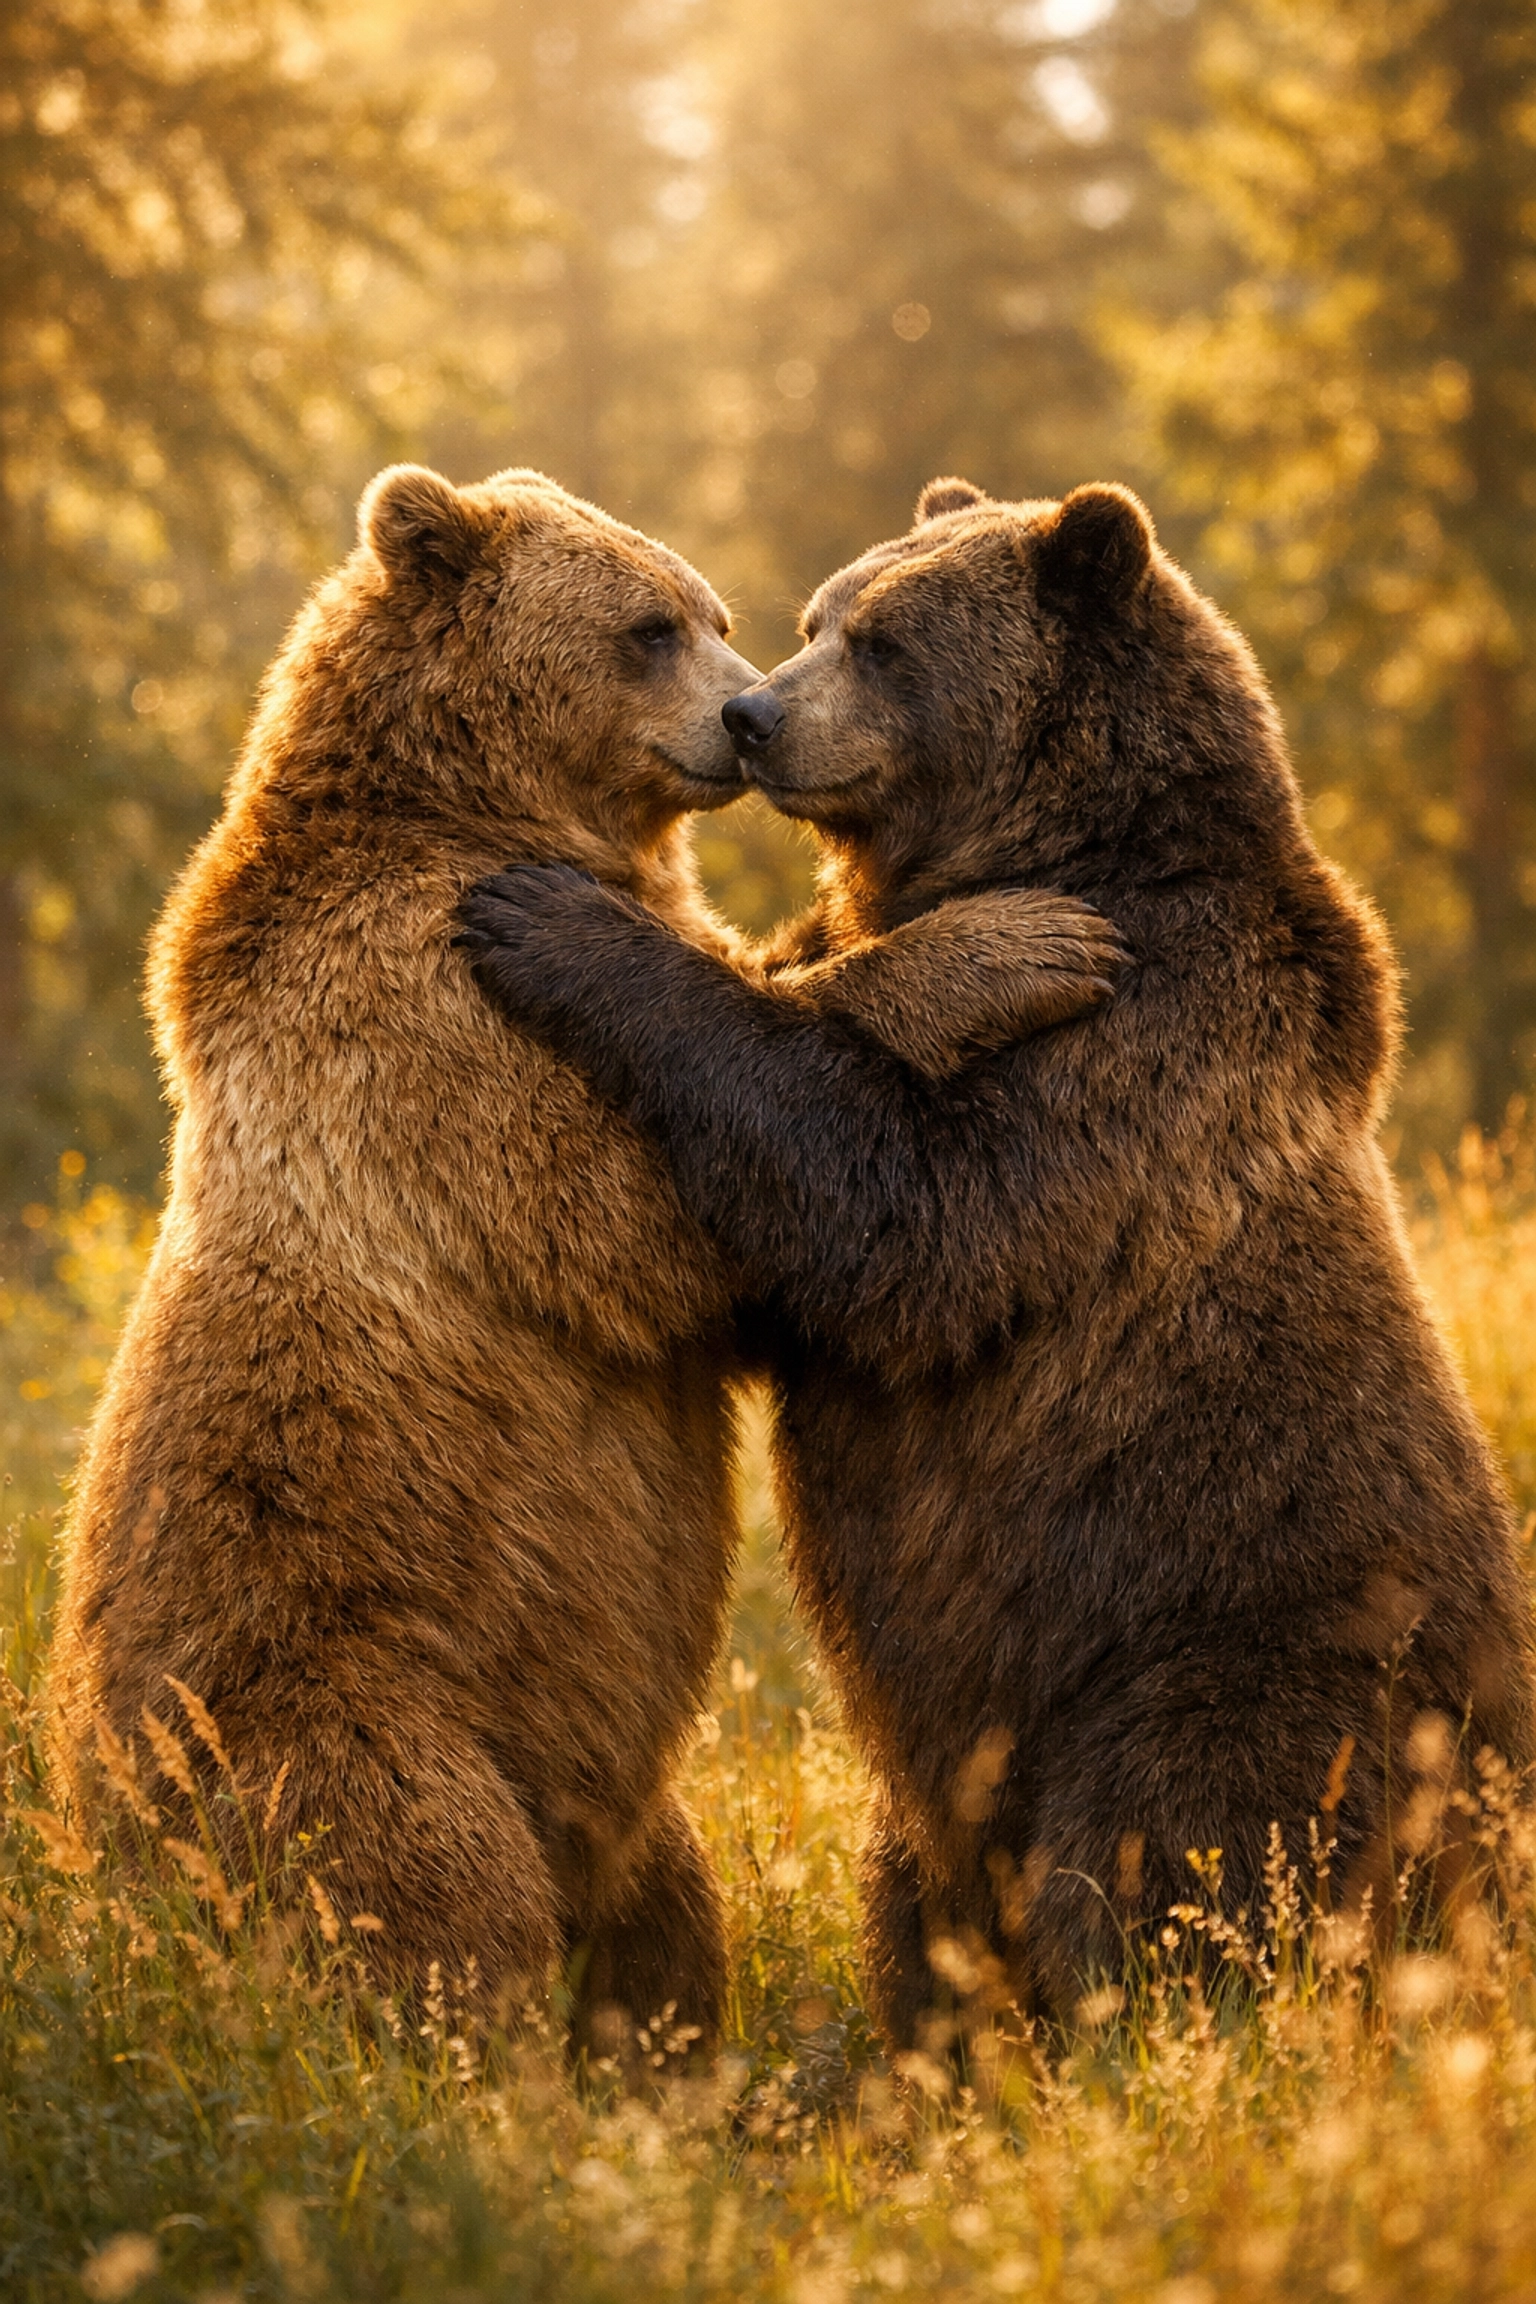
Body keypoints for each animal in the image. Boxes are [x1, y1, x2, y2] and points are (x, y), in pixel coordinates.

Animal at [50, 462, 1125, 2057]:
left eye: (715, 613)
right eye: (647, 627)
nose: (743, 717)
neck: (466, 811)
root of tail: (103, 1877)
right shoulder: (416, 1014)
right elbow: (648, 1218)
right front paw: (1014, 942)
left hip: (617, 1791)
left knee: (661, 1921)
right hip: (336, 1699)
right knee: (423, 1885)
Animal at [456, 474, 1536, 2038]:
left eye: (887, 642)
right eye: (818, 618)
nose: (758, 716)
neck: (1065, 848)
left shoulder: (1144, 1031)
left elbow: (903, 1215)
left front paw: (549, 916)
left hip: (1235, 1651)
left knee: (1183, 1857)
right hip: (949, 1778)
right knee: (920, 1891)